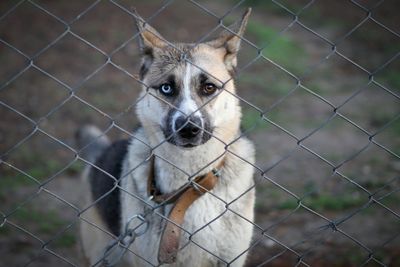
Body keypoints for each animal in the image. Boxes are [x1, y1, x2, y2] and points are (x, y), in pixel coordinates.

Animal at [76, 8, 255, 267]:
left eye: (209, 88)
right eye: (167, 88)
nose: (188, 129)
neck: (190, 185)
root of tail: (101, 154)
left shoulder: (231, 258)